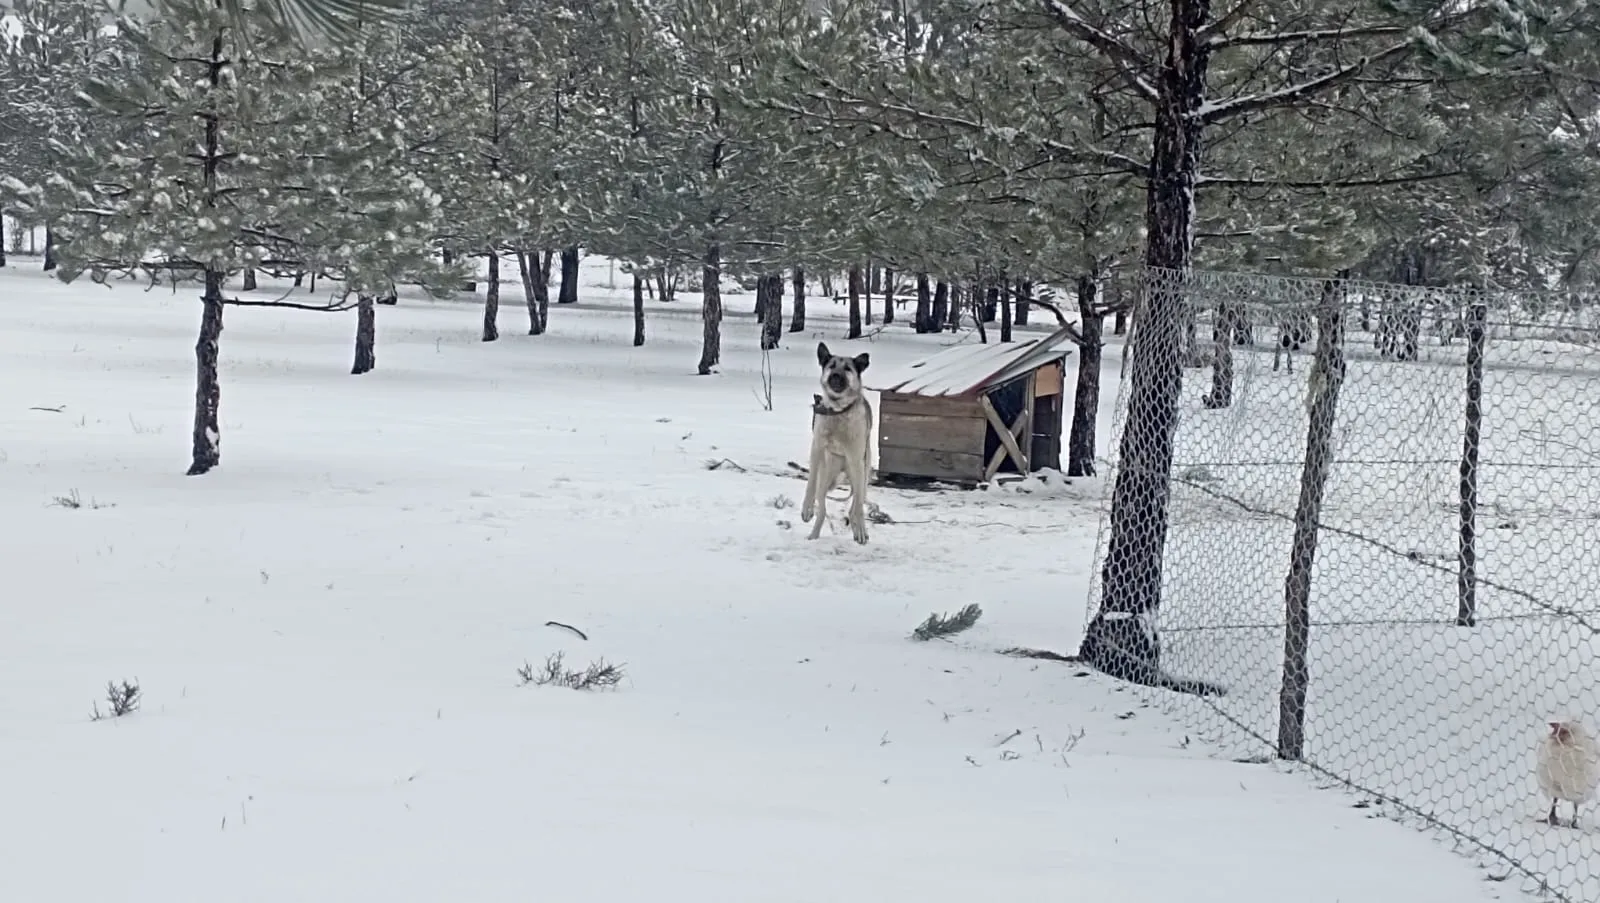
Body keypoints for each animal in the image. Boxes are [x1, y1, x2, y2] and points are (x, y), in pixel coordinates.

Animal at [800, 344, 876, 544]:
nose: (835, 376)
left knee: (856, 506)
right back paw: (814, 534)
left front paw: (861, 530)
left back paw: (860, 531)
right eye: (831, 366)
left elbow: (858, 507)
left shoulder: (857, 460)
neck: (838, 411)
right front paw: (807, 509)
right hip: (826, 478)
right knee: (823, 509)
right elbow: (810, 483)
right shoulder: (817, 449)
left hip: (861, 476)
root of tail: (842, 469)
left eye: (848, 369)